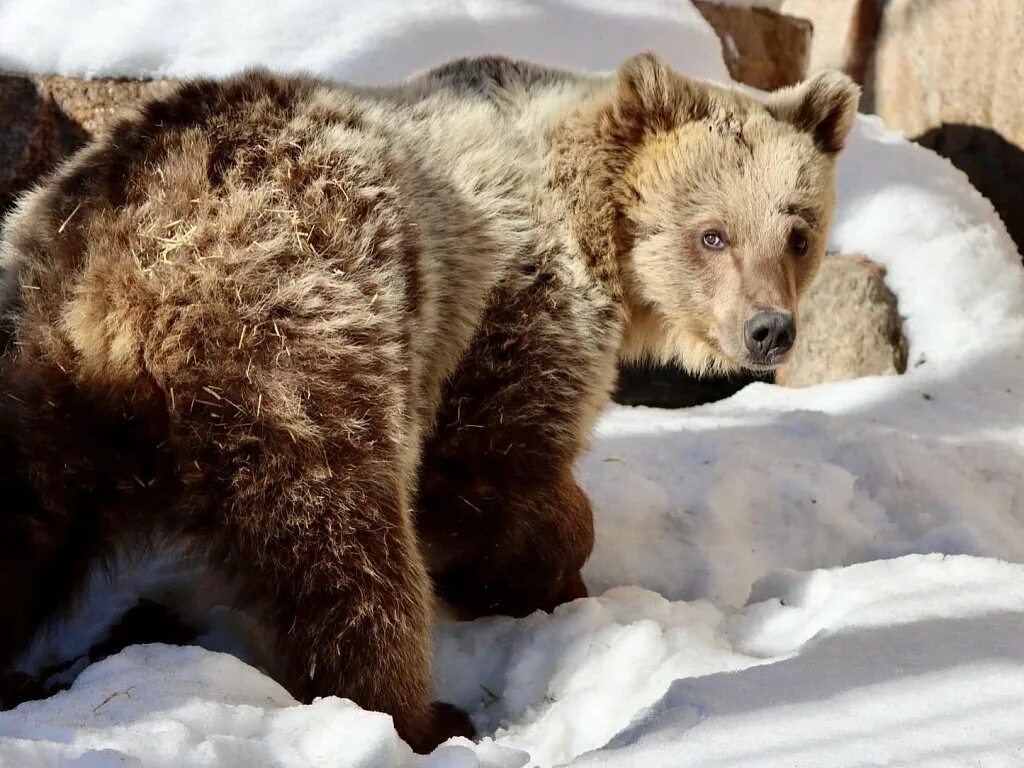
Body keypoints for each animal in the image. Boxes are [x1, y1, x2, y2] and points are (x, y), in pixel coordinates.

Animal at [0, 54, 860, 753]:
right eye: (711, 233)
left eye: (798, 230)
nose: (769, 330)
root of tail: (111, 275)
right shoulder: (511, 298)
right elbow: (492, 465)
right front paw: (547, 575)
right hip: (297, 336)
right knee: (345, 543)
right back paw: (416, 715)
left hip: (34, 384)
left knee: (26, 530)